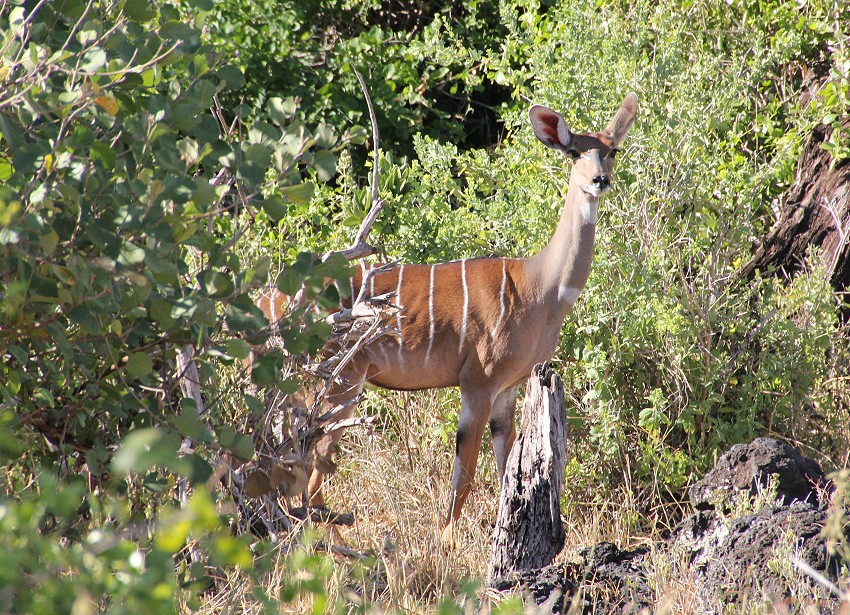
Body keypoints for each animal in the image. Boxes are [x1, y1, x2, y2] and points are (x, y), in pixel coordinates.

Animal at [258, 94, 636, 540]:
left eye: (611, 150)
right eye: (574, 151)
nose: (600, 180)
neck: (539, 289)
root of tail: (266, 301)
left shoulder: (508, 388)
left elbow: (507, 470)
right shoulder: (478, 381)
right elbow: (464, 476)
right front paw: (447, 544)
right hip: (339, 380)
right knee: (308, 465)